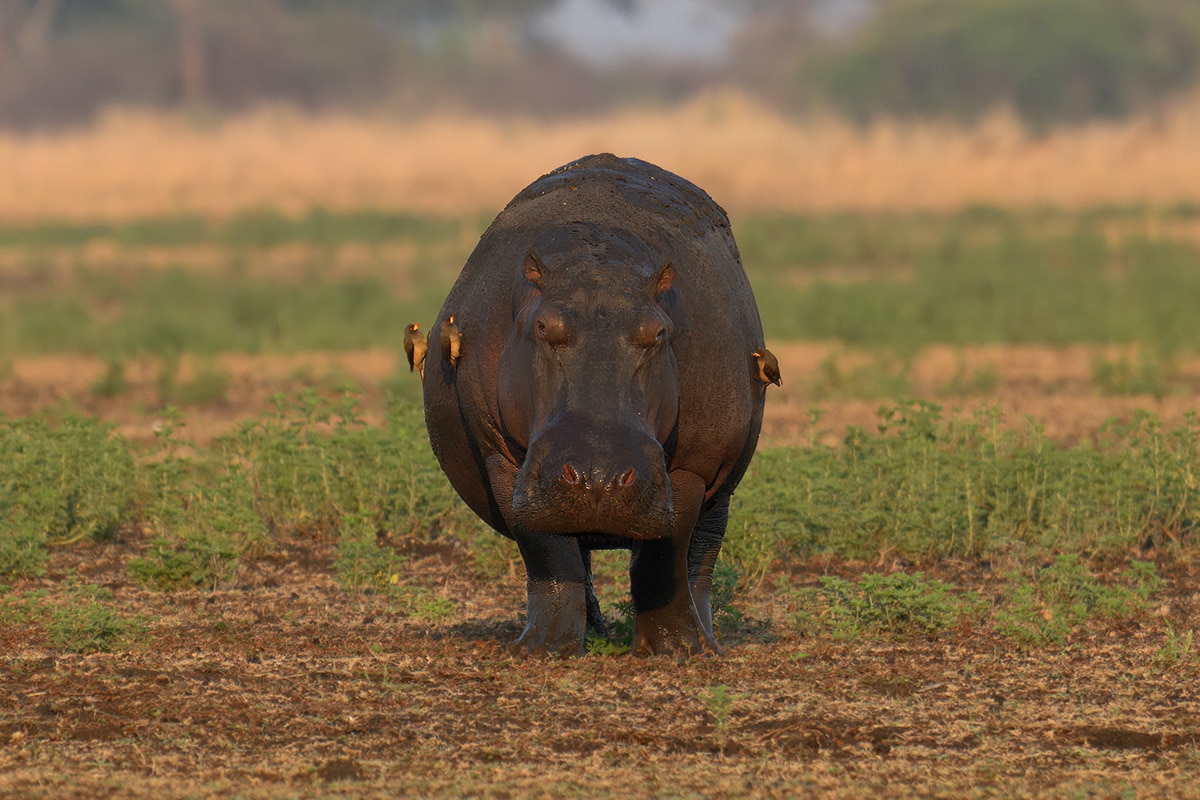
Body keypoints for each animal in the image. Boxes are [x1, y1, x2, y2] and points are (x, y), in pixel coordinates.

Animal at [423, 153, 775, 657]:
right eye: (544, 326)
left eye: (658, 332)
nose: (599, 478)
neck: (599, 265)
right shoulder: (504, 458)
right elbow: (548, 553)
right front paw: (544, 648)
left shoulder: (691, 467)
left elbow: (663, 556)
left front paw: (675, 649)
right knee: (580, 553)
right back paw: (592, 630)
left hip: (720, 486)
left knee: (701, 557)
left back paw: (707, 639)